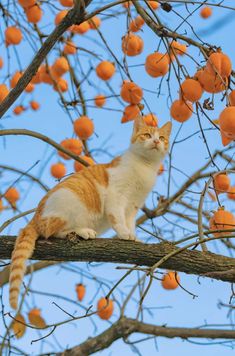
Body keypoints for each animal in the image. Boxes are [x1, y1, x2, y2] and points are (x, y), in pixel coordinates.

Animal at [9, 114, 172, 308]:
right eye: (147, 135)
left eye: (161, 138)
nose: (156, 141)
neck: (144, 167)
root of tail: (35, 218)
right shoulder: (116, 197)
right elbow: (118, 218)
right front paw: (124, 233)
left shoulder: (134, 206)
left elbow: (129, 221)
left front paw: (133, 236)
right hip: (69, 202)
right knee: (52, 231)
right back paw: (82, 231)